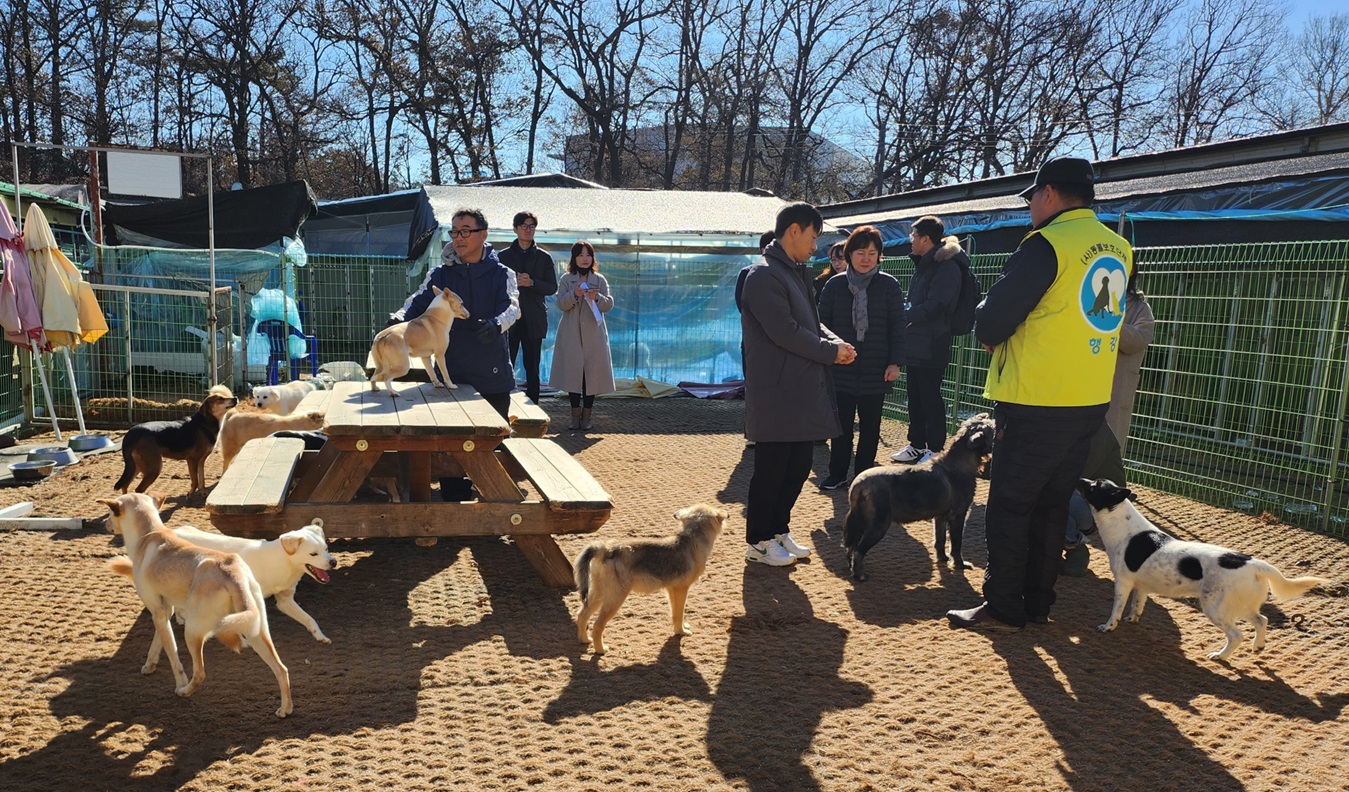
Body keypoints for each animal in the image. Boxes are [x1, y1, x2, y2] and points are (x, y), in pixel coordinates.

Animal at [103, 493, 295, 717]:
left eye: (110, 513)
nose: (106, 524)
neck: (148, 534)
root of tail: (231, 571)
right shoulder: (164, 612)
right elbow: (158, 642)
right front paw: (149, 665)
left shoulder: (157, 611)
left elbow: (173, 655)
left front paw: (179, 682)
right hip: (256, 630)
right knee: (281, 669)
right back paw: (286, 708)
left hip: (193, 631)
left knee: (200, 673)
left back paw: (185, 691)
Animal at [171, 520, 339, 644]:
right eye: (313, 554)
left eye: (326, 548)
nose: (334, 562)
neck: (281, 563)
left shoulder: (285, 601)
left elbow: (309, 619)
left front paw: (320, 636)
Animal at [577, 501, 733, 655]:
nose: (728, 513)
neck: (691, 542)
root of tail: (605, 549)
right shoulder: (681, 589)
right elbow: (680, 613)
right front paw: (681, 631)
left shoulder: (672, 589)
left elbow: (675, 613)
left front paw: (679, 629)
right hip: (615, 598)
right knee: (597, 625)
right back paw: (600, 649)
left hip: (599, 594)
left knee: (582, 615)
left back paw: (585, 640)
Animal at [841, 415, 1003, 582]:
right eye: (993, 430)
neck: (957, 464)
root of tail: (857, 485)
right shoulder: (958, 516)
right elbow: (956, 544)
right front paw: (959, 563)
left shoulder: (940, 517)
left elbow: (940, 540)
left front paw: (942, 558)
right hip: (877, 525)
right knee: (858, 551)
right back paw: (860, 574)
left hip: (859, 521)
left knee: (850, 547)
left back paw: (851, 567)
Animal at [1073, 480, 1327, 661]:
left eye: (1094, 486)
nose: (1079, 478)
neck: (1124, 528)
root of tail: (1252, 562)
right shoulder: (1141, 587)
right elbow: (1137, 606)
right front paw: (1132, 619)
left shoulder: (1123, 583)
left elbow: (1115, 610)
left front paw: (1108, 627)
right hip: (1241, 605)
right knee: (1262, 620)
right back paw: (1258, 646)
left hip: (1215, 608)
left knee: (1237, 635)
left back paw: (1221, 656)